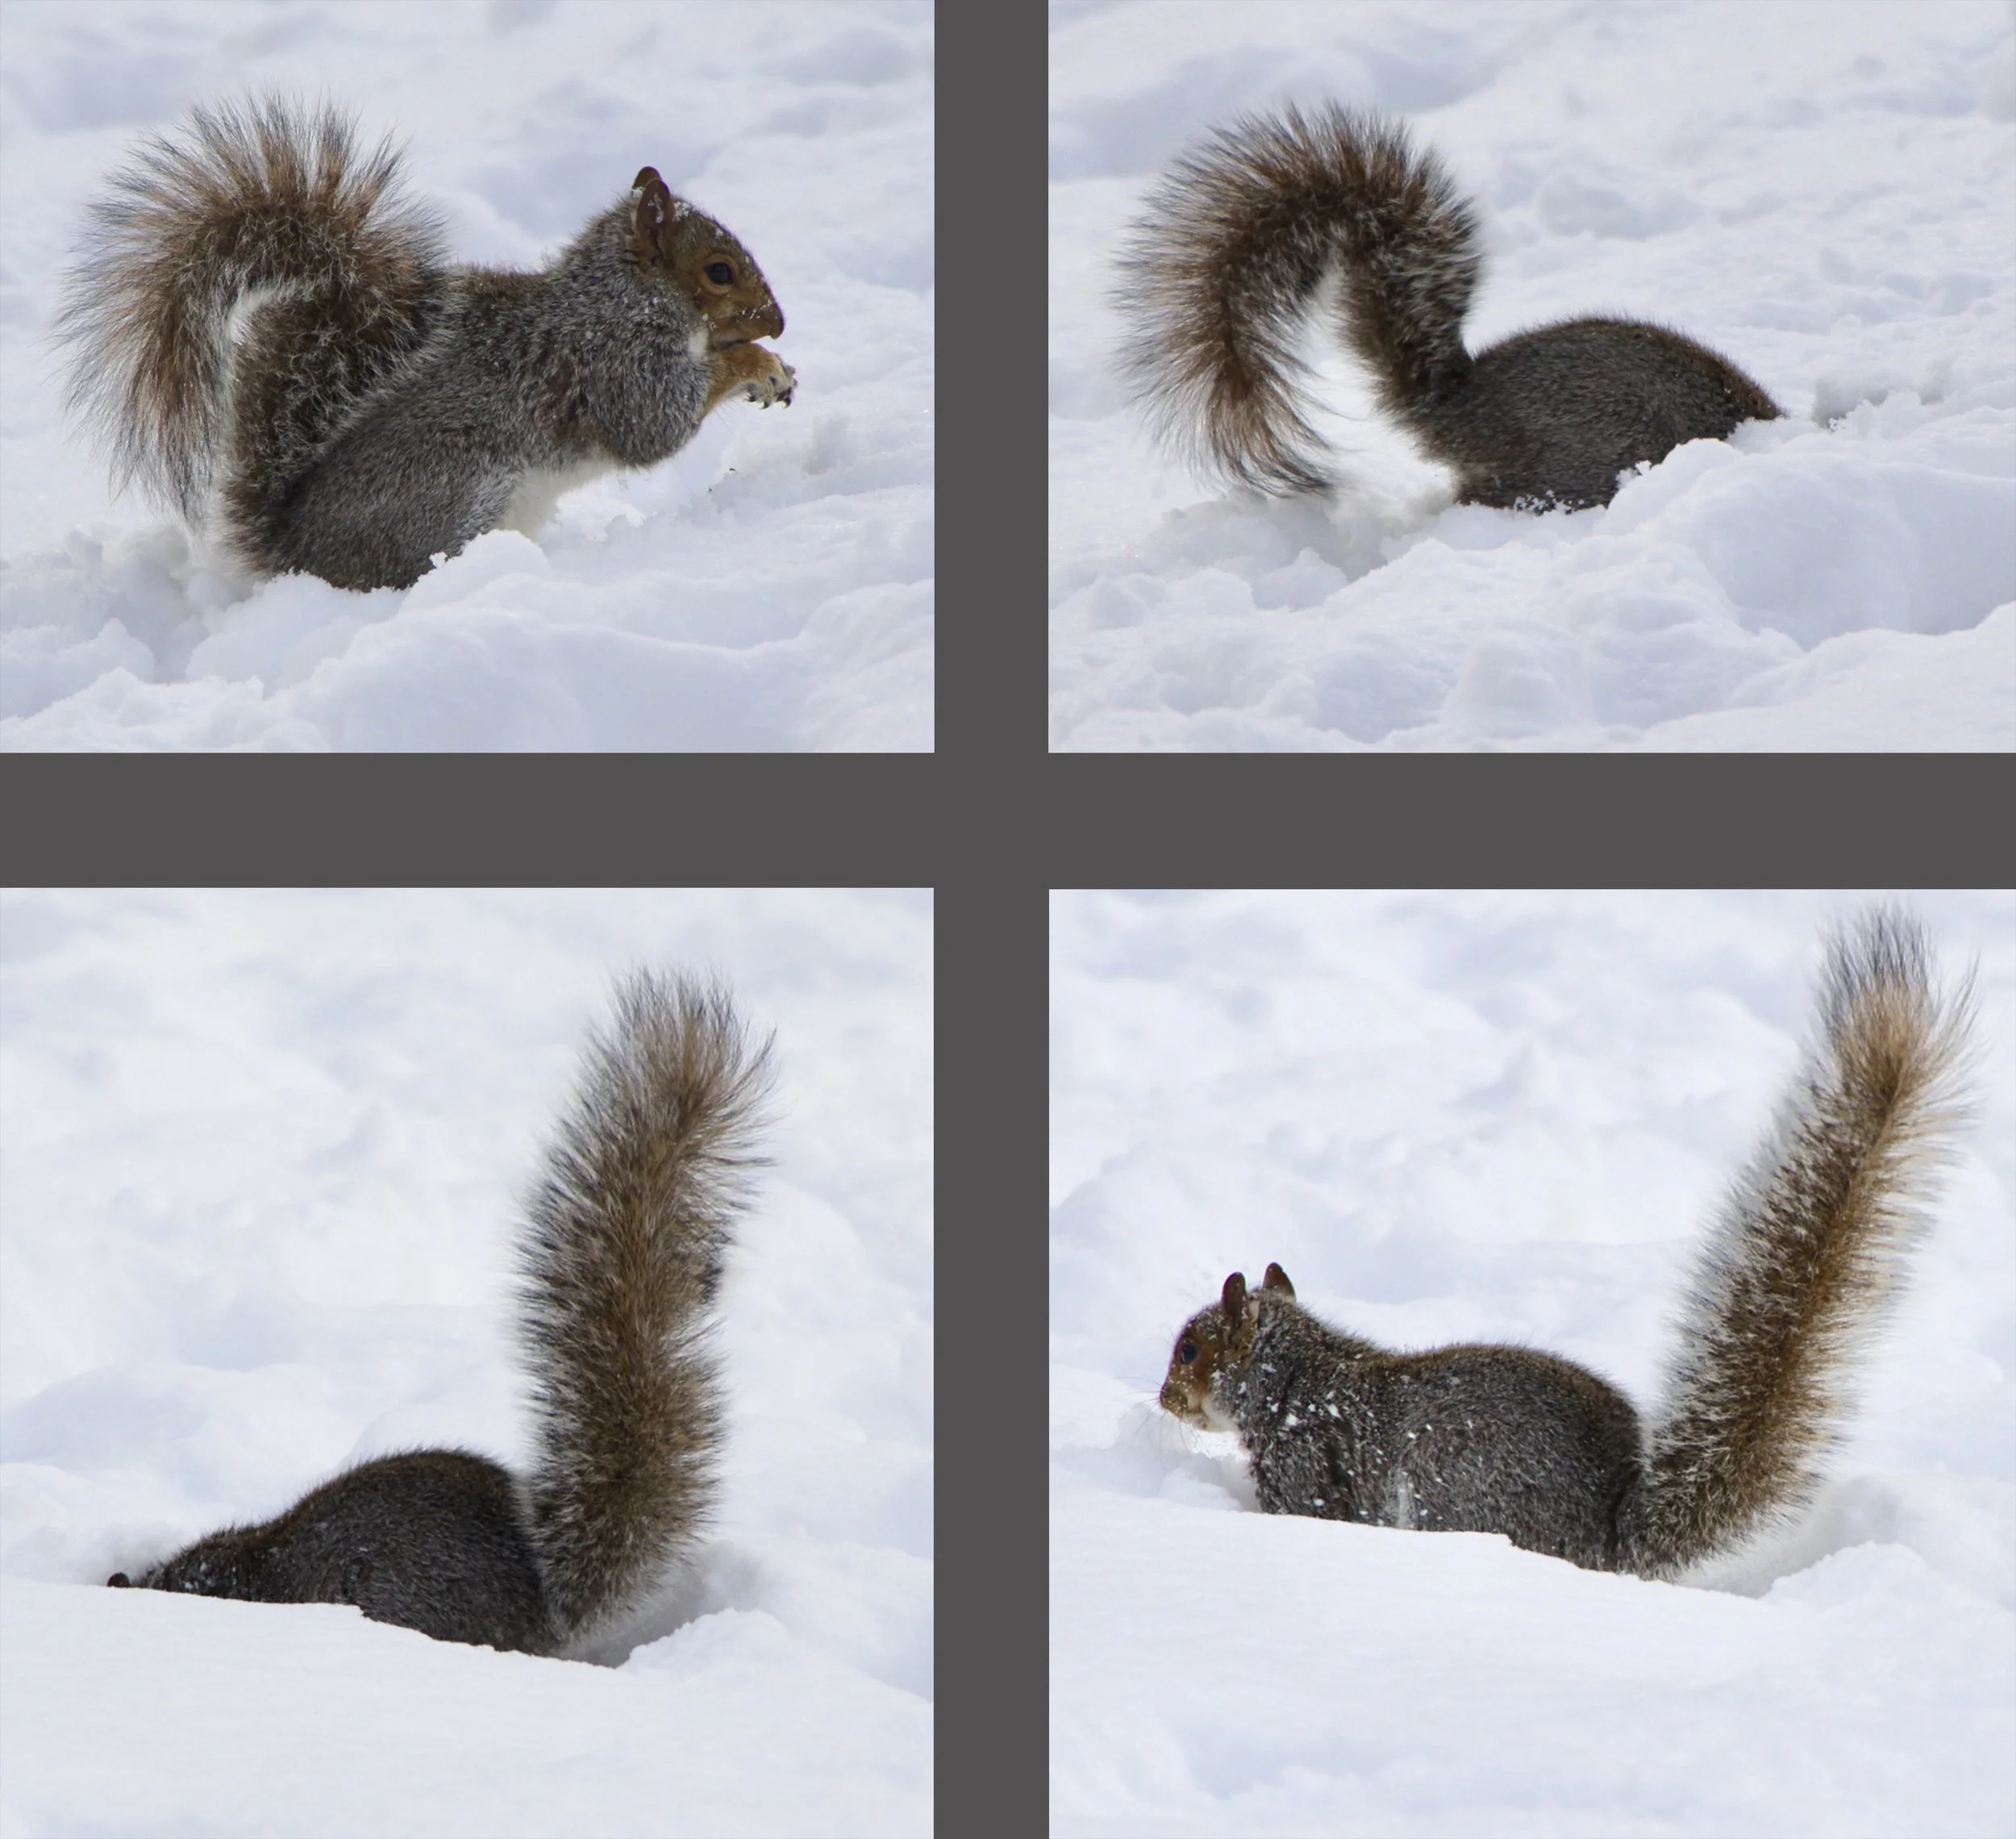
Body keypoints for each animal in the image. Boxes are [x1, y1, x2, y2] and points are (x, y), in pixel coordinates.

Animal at [55, 97, 795, 591]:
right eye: (719, 271)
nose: (779, 322)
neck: (620, 296)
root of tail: (296, 556)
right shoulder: (614, 364)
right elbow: (658, 425)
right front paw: (756, 364)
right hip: (458, 494)